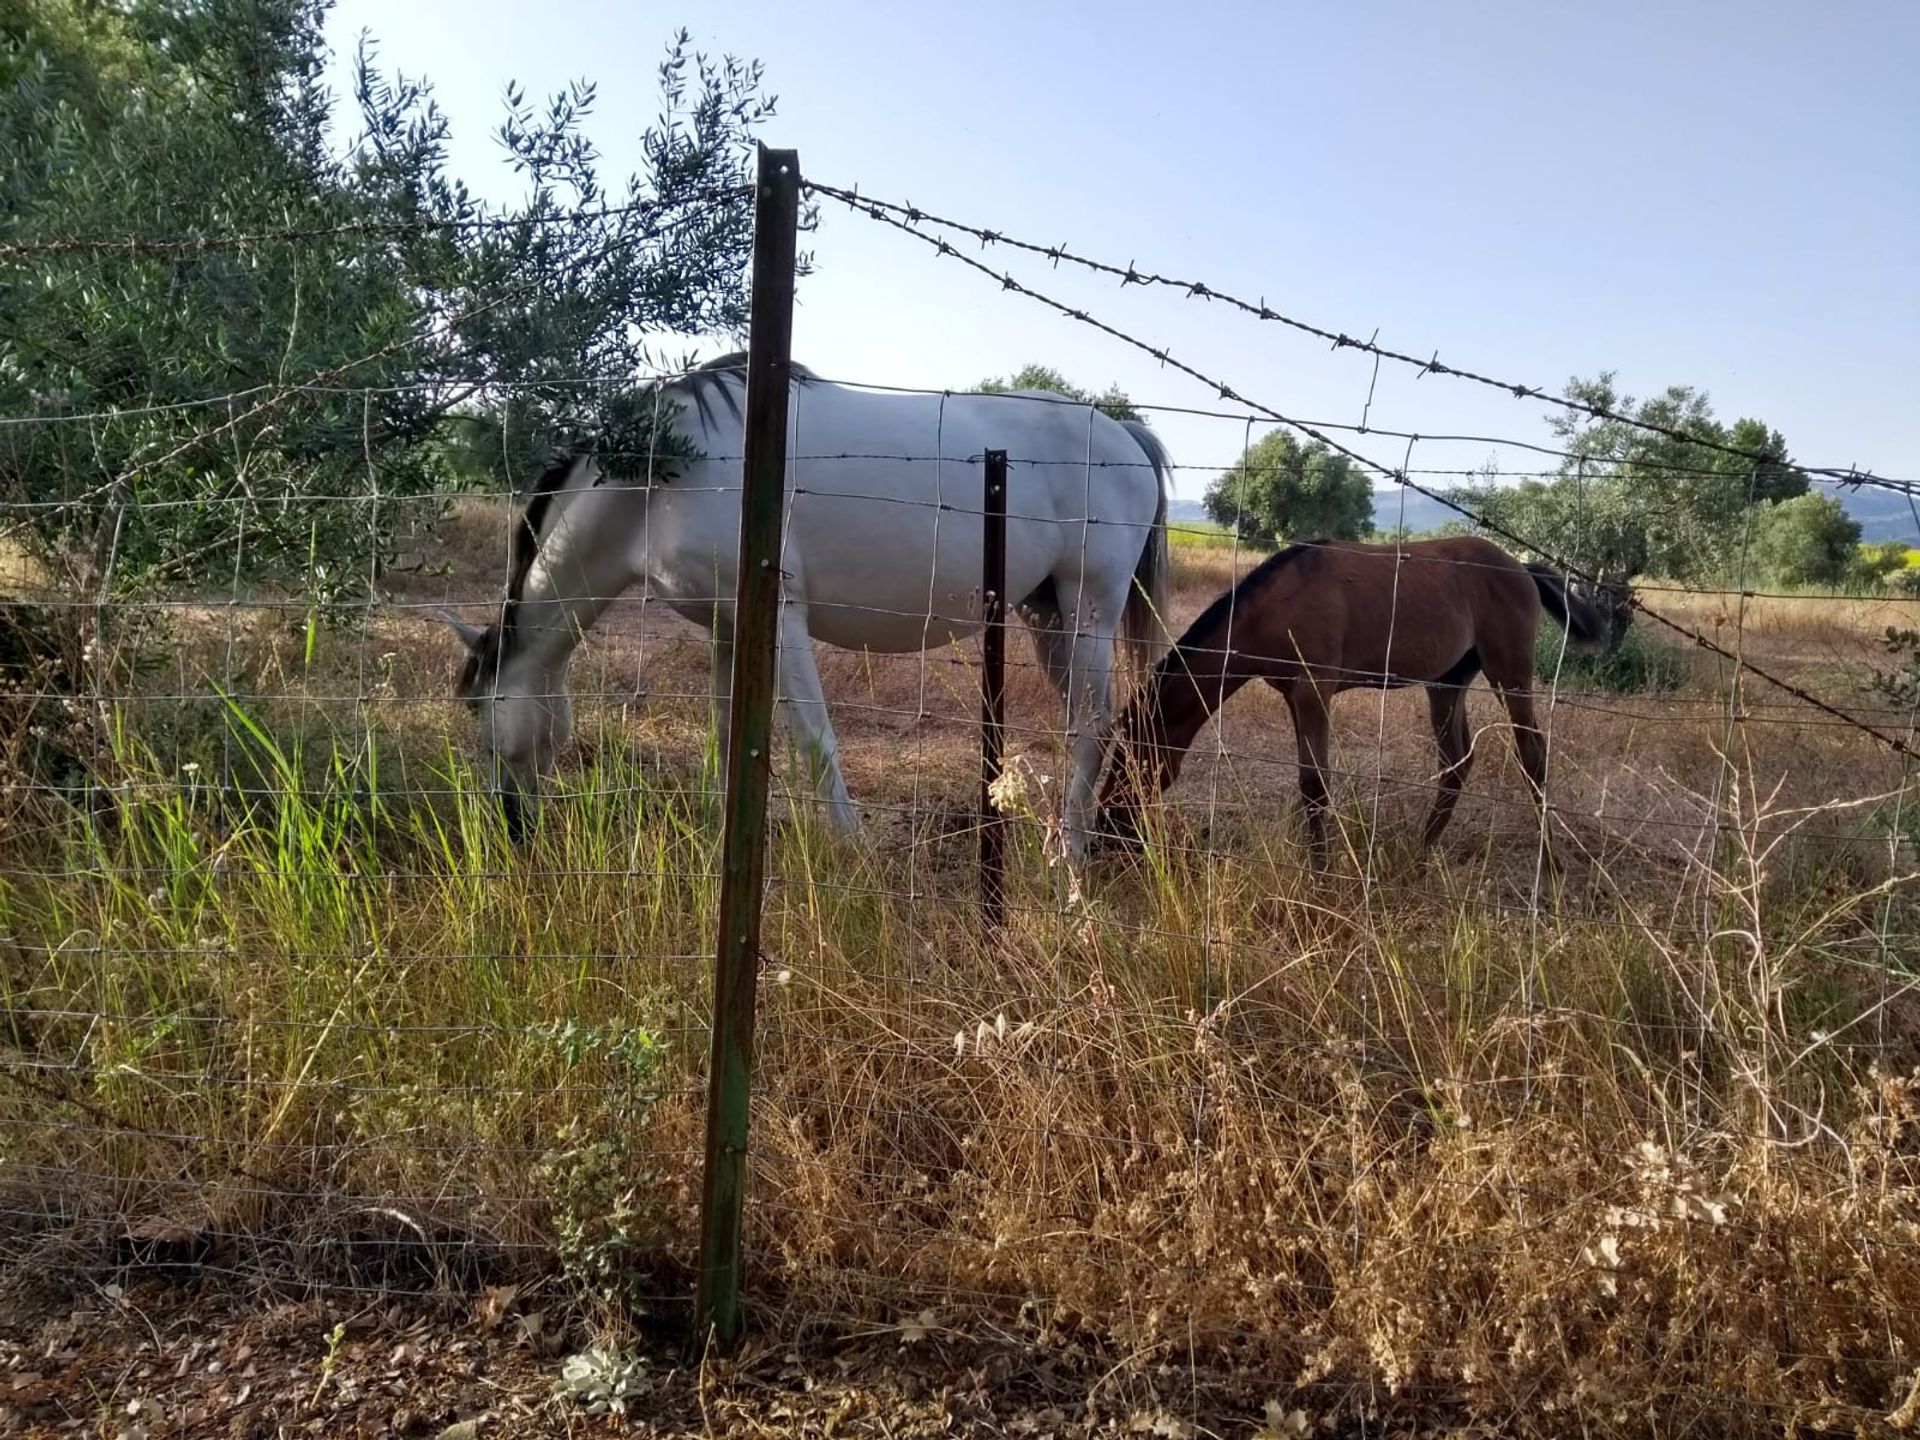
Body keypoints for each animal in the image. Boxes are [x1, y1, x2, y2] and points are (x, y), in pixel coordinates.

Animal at [449, 357, 1167, 864]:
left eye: (483, 723)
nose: (510, 829)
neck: (665, 477)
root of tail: (1124, 434)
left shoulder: (781, 618)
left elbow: (816, 740)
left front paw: (852, 850)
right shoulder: (728, 626)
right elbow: (725, 734)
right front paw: (723, 837)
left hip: (1087, 609)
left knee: (1092, 725)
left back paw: (1069, 856)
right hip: (1045, 614)